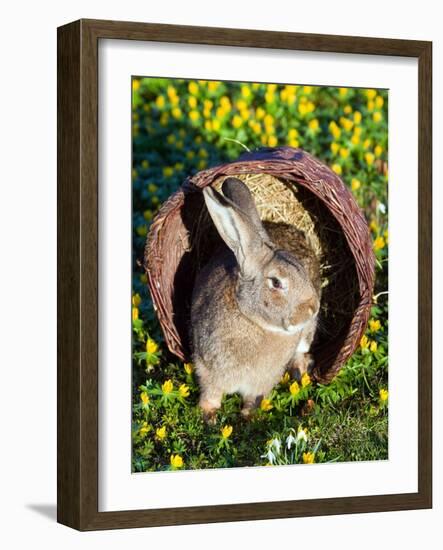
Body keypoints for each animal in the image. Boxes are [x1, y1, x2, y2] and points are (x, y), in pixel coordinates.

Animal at [191, 178, 322, 422]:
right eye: (276, 283)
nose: (313, 308)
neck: (252, 319)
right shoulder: (207, 368)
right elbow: (211, 393)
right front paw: (208, 415)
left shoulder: (264, 380)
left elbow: (254, 397)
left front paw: (248, 416)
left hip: (307, 334)